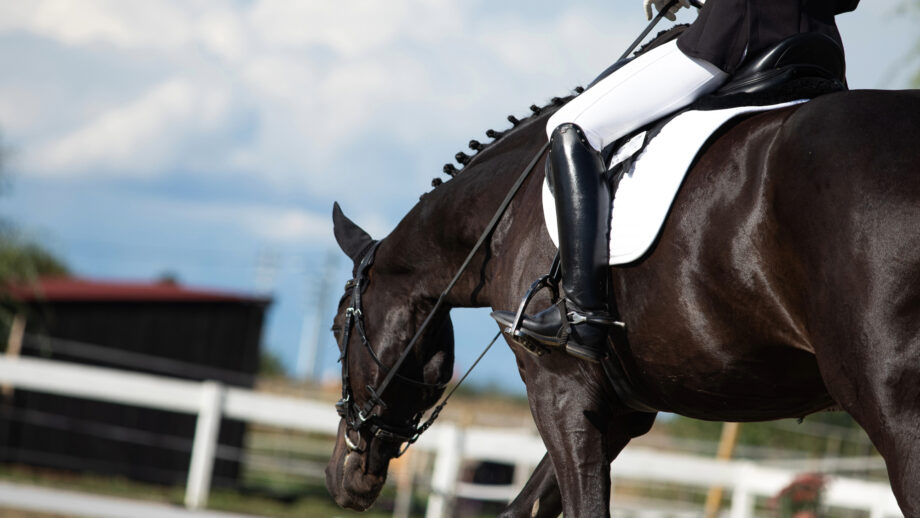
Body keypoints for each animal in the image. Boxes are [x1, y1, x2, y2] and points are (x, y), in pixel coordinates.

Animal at [323, 63, 920, 517]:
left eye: (335, 329)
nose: (340, 477)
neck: (506, 213)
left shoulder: (558, 388)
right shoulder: (621, 409)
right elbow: (525, 507)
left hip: (894, 404)